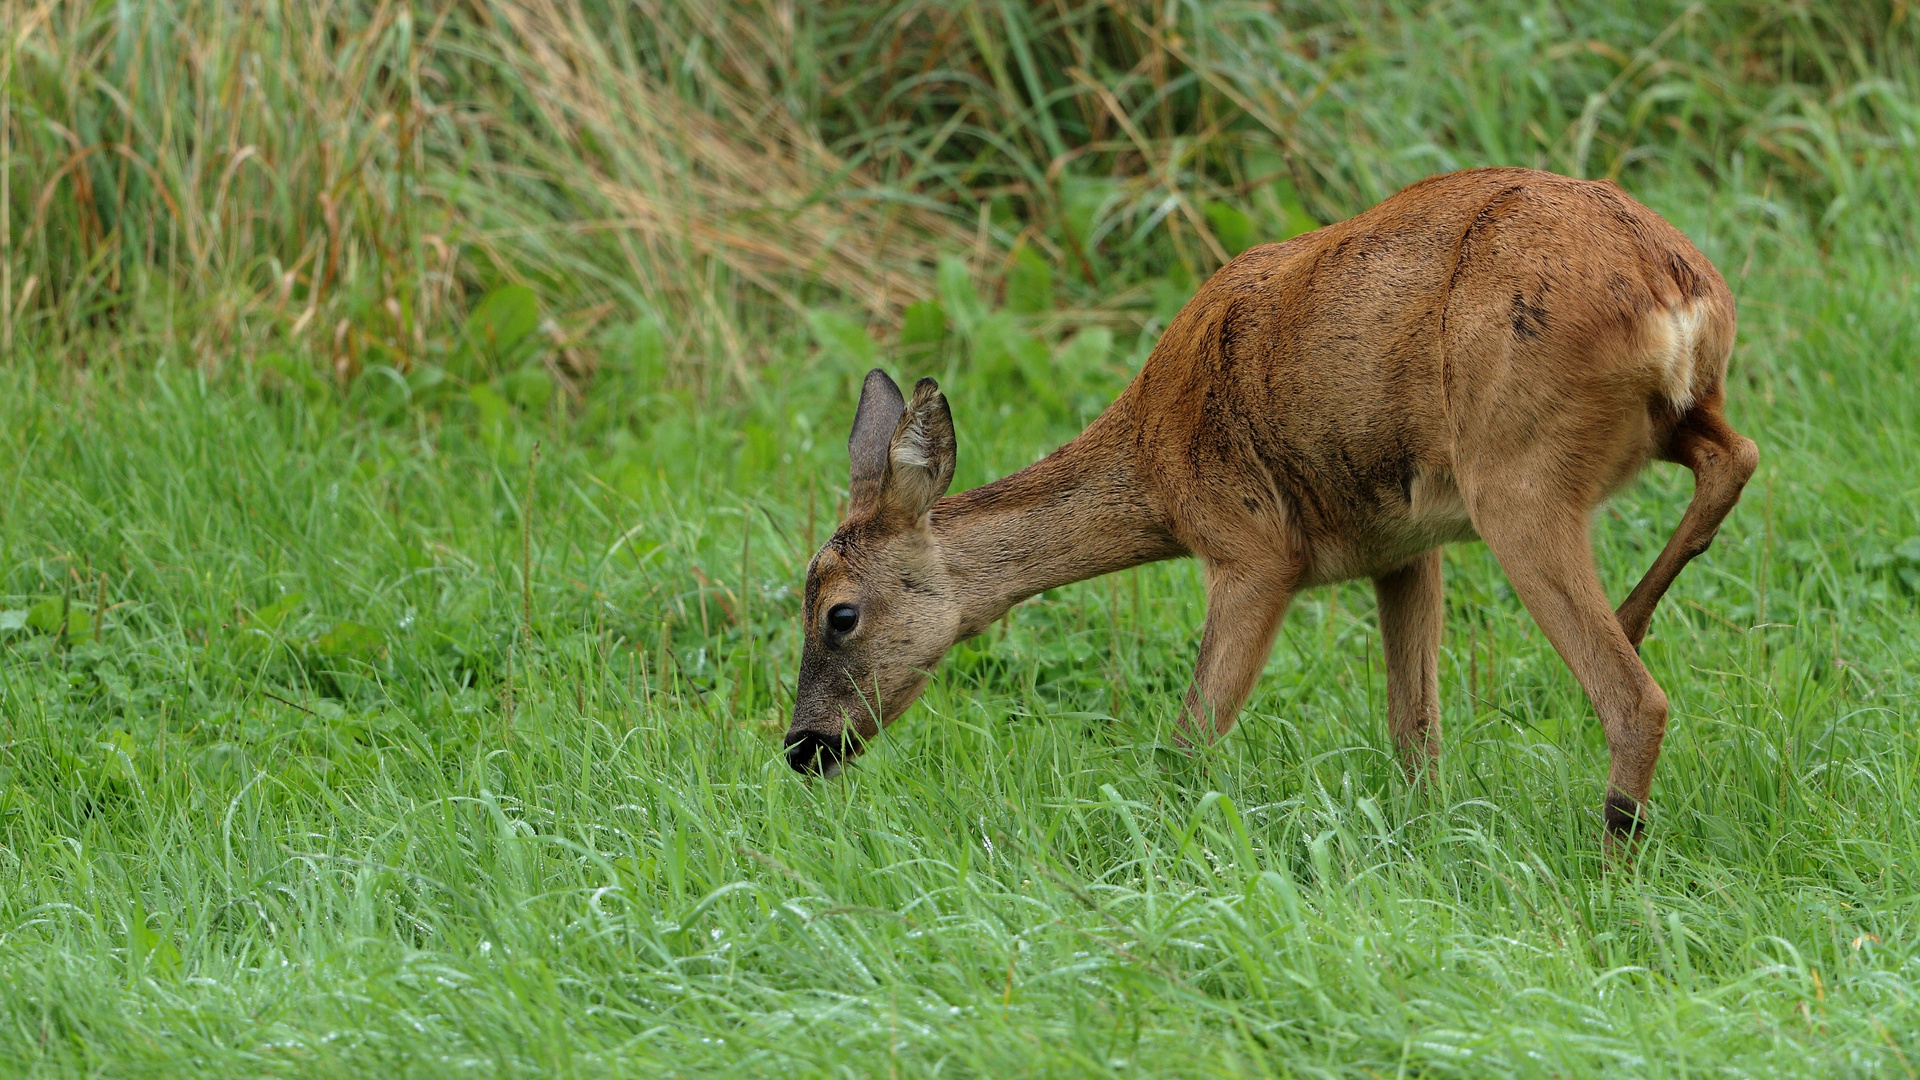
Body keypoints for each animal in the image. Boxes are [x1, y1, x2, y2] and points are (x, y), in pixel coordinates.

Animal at [783, 168, 1758, 841]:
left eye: (839, 613)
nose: (802, 747)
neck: (1153, 463)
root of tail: (1678, 290)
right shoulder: (1406, 549)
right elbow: (1415, 735)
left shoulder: (1252, 549)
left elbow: (1188, 738)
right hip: (1659, 419)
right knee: (1735, 454)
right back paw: (1638, 610)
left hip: (1518, 475)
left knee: (1636, 699)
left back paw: (1612, 855)